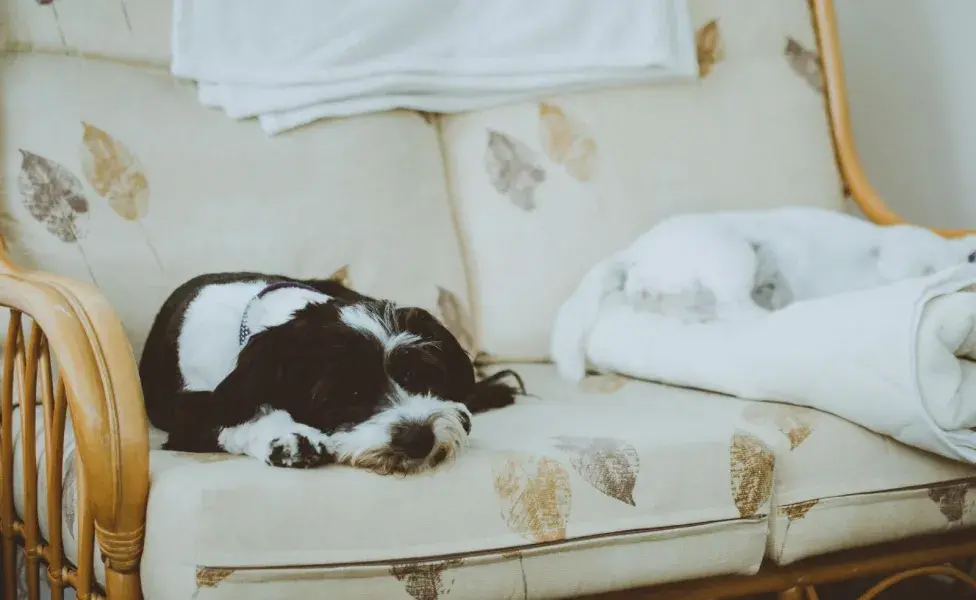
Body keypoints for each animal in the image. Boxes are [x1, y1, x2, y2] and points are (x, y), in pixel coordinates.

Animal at [139, 272, 528, 474]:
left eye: (418, 376)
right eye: (347, 394)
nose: (419, 439)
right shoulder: (187, 416)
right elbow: (235, 416)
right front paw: (287, 435)